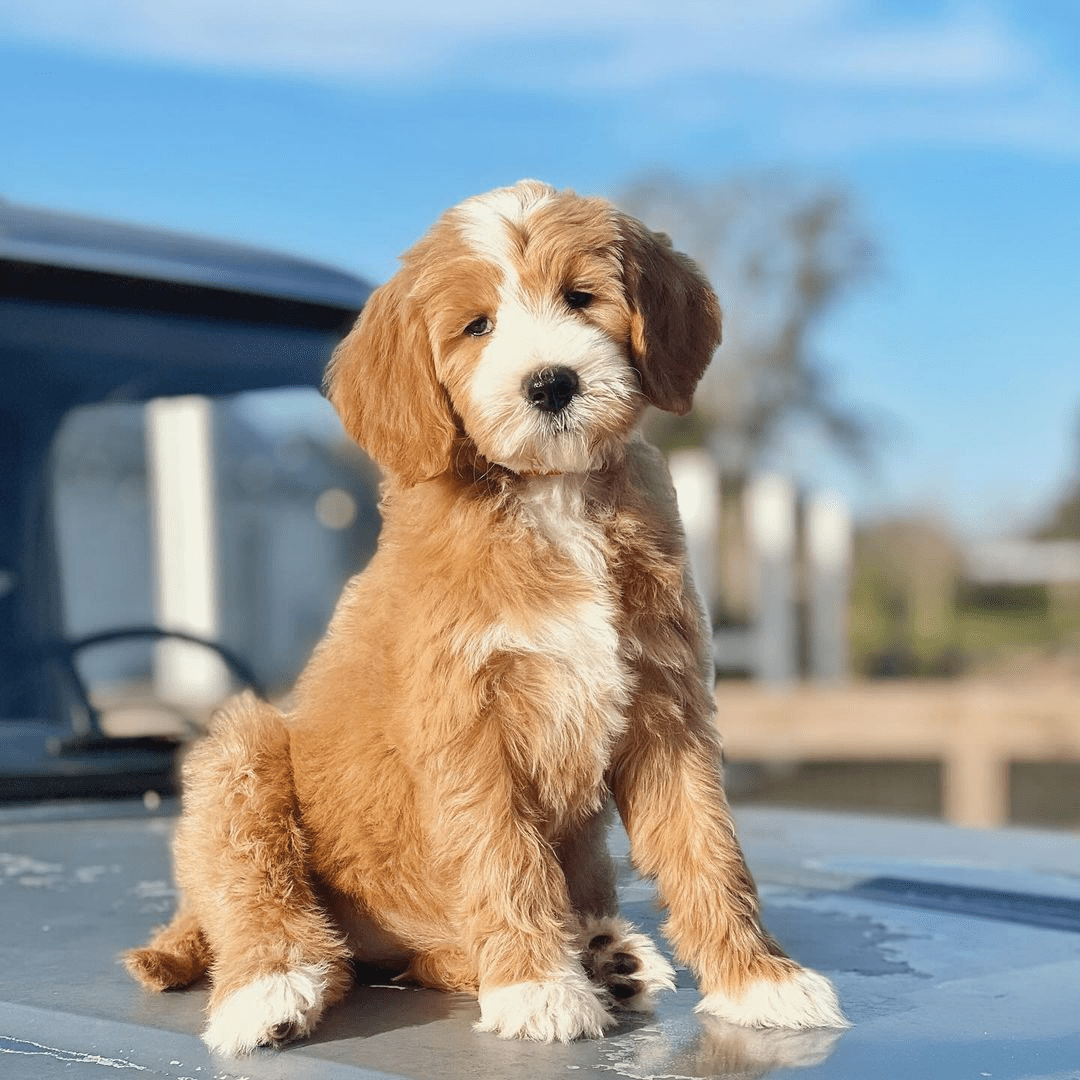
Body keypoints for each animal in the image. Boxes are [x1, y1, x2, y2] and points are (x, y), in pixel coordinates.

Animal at [126, 181, 846, 1049]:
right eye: (477, 326)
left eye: (581, 297)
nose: (551, 384)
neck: (551, 497)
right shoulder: (468, 723)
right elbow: (503, 852)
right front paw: (537, 987)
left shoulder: (668, 708)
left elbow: (708, 846)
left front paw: (758, 980)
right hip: (244, 749)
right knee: (262, 898)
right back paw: (269, 989)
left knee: (420, 961)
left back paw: (601, 954)